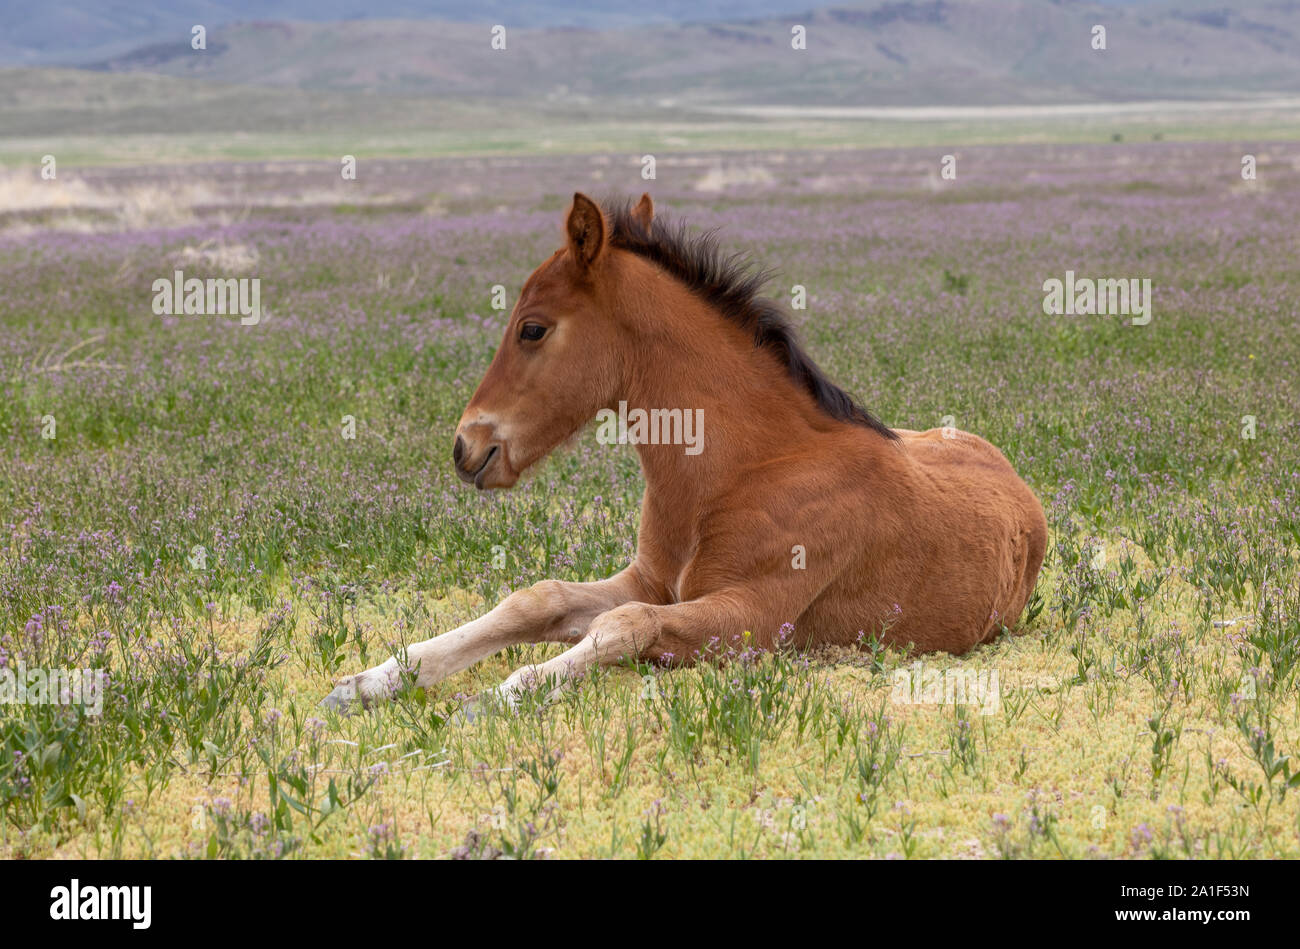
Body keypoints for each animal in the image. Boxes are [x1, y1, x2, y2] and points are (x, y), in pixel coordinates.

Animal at [319, 192, 1050, 707]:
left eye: (532, 328)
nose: (467, 446)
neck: (738, 473)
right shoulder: (647, 577)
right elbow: (537, 599)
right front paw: (369, 683)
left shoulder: (754, 619)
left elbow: (626, 626)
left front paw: (502, 696)